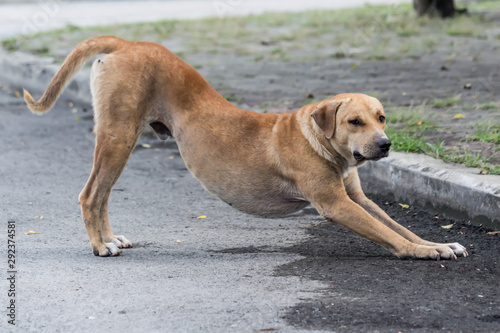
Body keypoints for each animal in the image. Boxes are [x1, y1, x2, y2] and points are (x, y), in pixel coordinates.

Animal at [24, 37, 468, 260]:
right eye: (353, 122)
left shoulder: (358, 198)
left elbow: (398, 225)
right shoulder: (336, 204)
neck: (315, 136)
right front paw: (419, 253)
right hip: (118, 138)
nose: (386, 145)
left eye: (382, 117)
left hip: (120, 141)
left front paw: (437, 244)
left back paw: (110, 239)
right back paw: (101, 245)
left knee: (101, 196)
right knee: (91, 195)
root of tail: (125, 42)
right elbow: (390, 235)